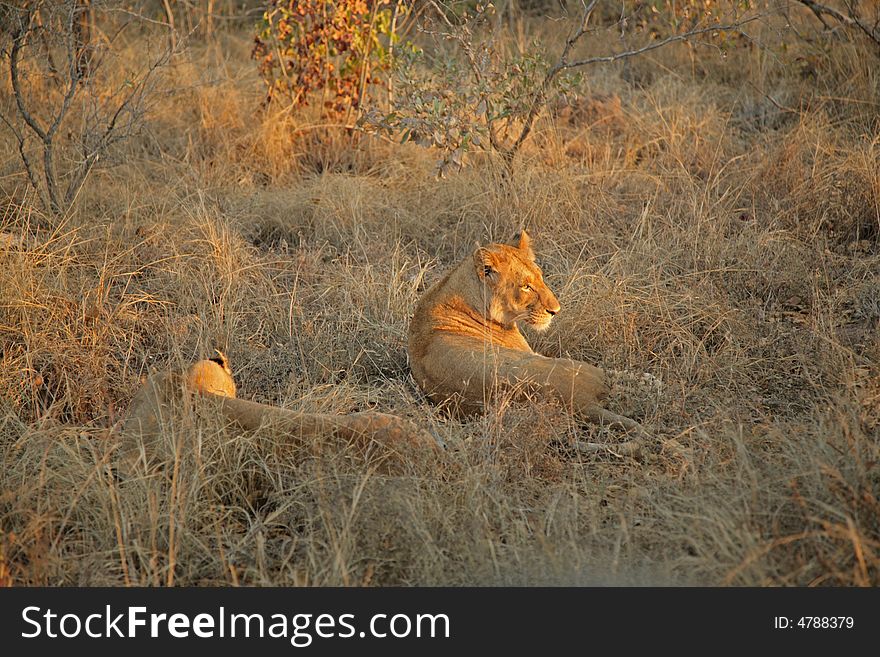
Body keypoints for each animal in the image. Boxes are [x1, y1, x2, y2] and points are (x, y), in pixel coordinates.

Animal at [410, 229, 648, 452]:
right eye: (526, 286)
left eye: (540, 277)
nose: (556, 311)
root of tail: (581, 403)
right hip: (577, 367)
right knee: (616, 376)